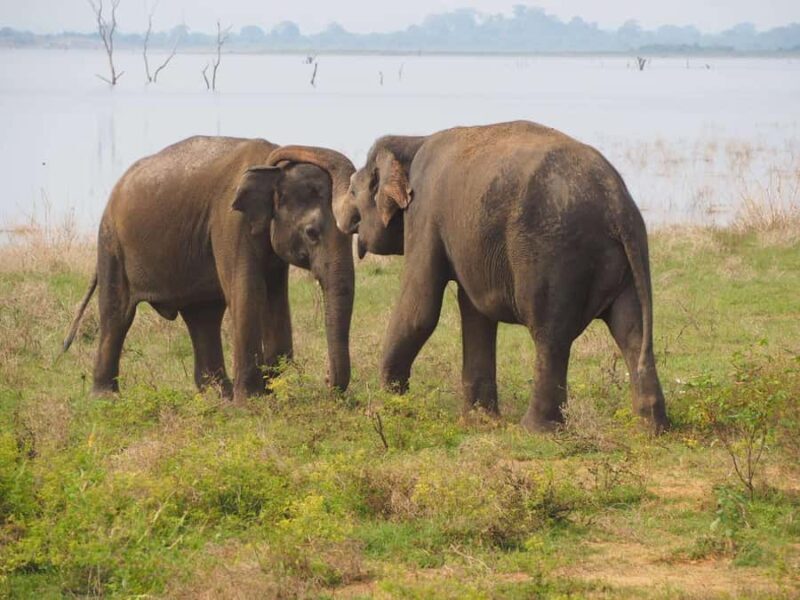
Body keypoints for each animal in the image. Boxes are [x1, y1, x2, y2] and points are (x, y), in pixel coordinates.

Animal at [63, 136, 357, 402]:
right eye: (311, 233)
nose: (327, 379)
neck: (273, 169)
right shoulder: (229, 222)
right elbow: (248, 291)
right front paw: (251, 403)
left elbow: (275, 297)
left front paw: (270, 390)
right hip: (111, 242)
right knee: (118, 314)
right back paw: (105, 399)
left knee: (204, 317)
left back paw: (219, 396)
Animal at [330, 121, 668, 433]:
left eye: (353, 190)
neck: (413, 139)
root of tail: (616, 203)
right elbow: (476, 312)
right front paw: (480, 419)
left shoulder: (424, 214)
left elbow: (420, 309)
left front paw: (386, 409)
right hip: (627, 259)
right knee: (632, 330)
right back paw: (650, 428)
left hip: (552, 255)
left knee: (551, 335)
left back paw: (536, 430)